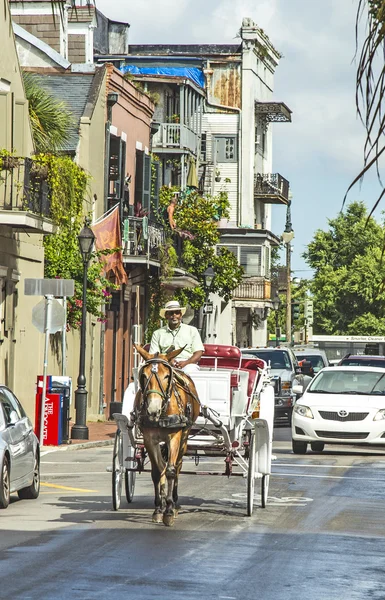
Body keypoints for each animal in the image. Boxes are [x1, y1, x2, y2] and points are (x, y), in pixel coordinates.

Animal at [133, 344, 200, 528]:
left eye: (167, 376)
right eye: (143, 375)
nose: (153, 410)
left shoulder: (174, 437)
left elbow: (170, 470)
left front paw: (169, 511)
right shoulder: (149, 439)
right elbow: (157, 472)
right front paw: (158, 509)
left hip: (184, 437)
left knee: (177, 466)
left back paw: (173, 504)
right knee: (162, 465)